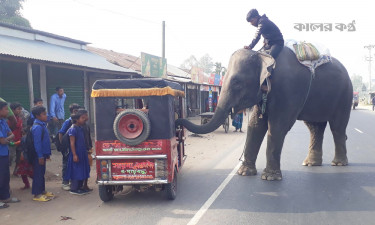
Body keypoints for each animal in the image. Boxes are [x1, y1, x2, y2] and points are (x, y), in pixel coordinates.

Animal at [178, 47, 354, 181]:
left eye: (237, 82)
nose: (178, 120)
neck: (264, 54)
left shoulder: (289, 89)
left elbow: (277, 127)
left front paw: (270, 178)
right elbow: (255, 125)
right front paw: (244, 173)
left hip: (345, 95)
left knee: (337, 127)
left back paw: (338, 164)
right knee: (315, 127)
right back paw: (311, 163)